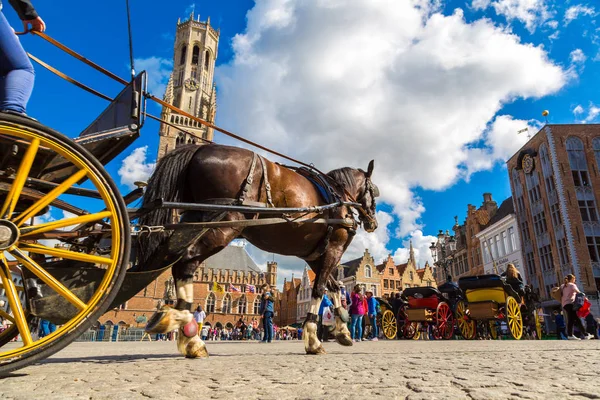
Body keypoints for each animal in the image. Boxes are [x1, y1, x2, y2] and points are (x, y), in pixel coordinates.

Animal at [138, 144, 378, 356]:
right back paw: (190, 336)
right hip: (224, 224)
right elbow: (320, 289)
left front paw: (343, 331)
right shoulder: (333, 249)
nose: (373, 223)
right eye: (374, 191)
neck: (337, 196)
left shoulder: (315, 256)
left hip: (192, 223)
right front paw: (313, 340)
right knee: (185, 263)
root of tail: (199, 148)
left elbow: (334, 287)